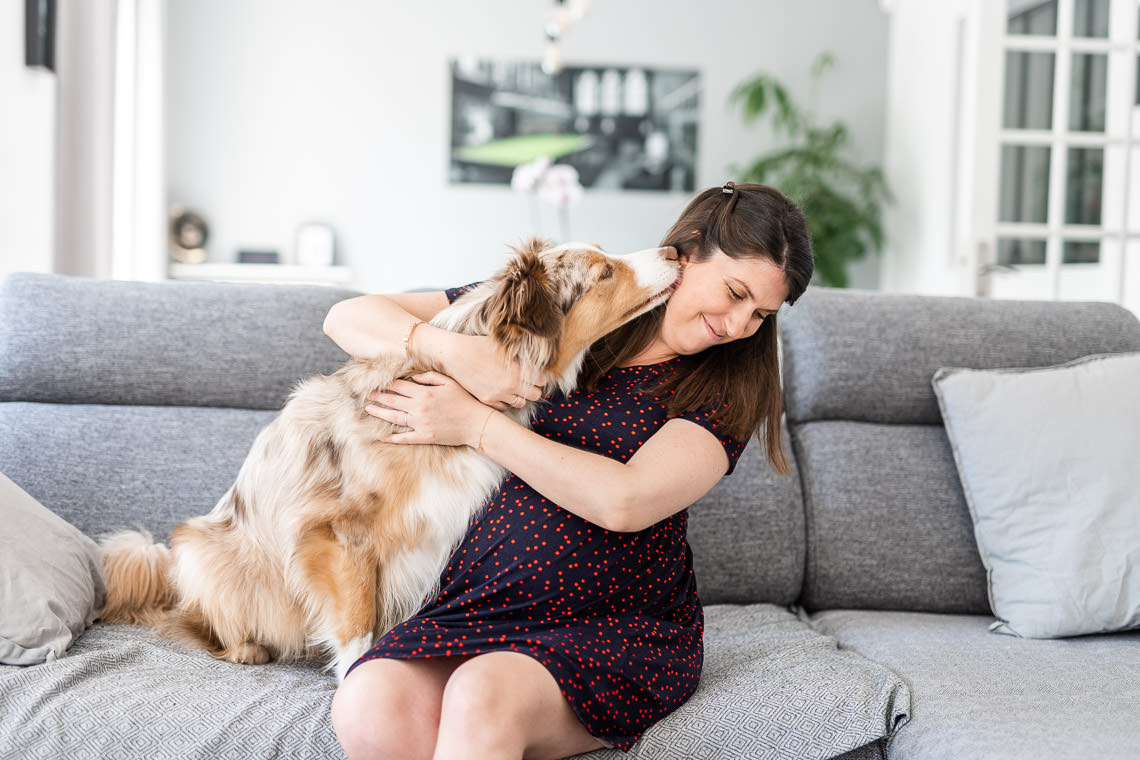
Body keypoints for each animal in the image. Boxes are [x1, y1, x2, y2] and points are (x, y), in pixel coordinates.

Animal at [100, 238, 674, 679]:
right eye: (604, 271)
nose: (672, 251)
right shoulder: (339, 534)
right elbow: (357, 625)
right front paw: (352, 681)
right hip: (199, 552)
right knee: (202, 622)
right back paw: (246, 648)